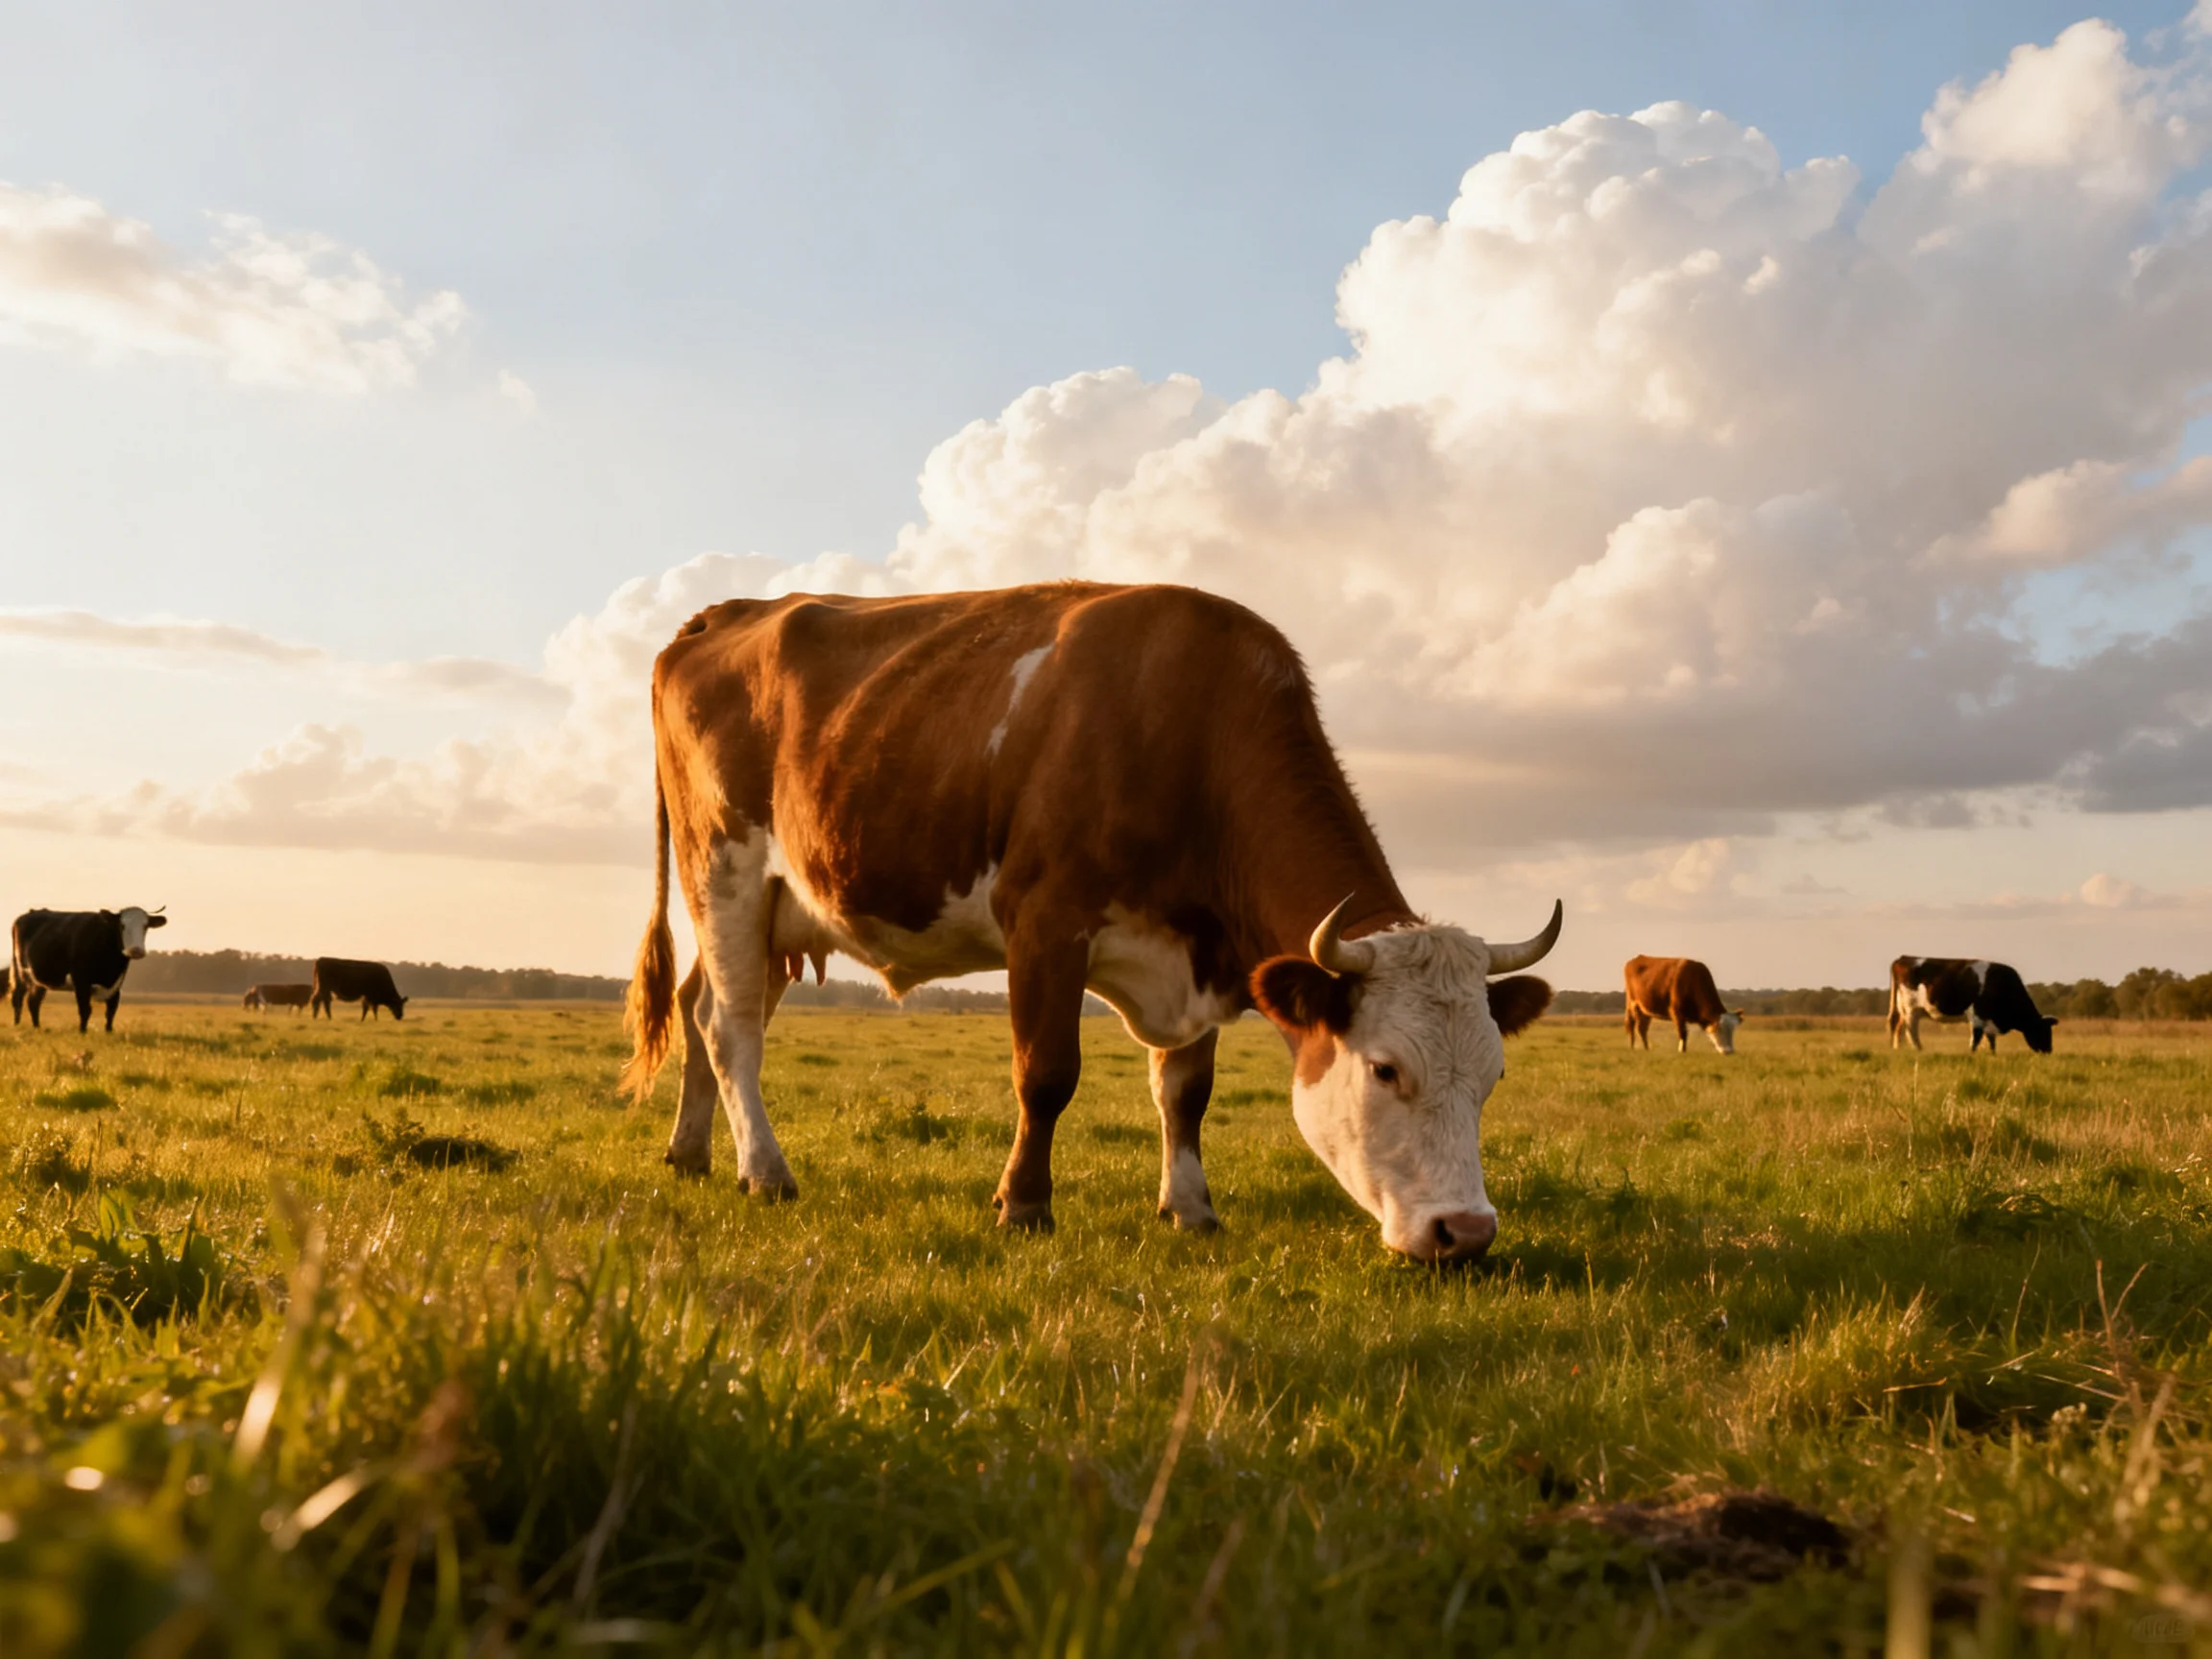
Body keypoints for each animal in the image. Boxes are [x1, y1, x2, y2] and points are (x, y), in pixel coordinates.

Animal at [10, 907, 168, 1032]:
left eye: (145, 926)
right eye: (122, 925)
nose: (136, 950)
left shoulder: (117, 984)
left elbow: (111, 1010)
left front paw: (108, 1031)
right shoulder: (81, 981)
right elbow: (85, 1009)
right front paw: (83, 1032)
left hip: (39, 980)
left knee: (34, 1001)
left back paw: (36, 1027)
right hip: (21, 973)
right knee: (19, 999)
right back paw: (18, 1025)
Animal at [619, 583, 1562, 1263]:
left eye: (1493, 1077)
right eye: (1384, 1069)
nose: (1466, 1234)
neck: (1189, 727)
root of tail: (723, 613)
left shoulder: (1201, 956)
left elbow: (1185, 1092)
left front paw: (1190, 1207)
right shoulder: (1045, 921)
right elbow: (1047, 1075)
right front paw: (1023, 1205)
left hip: (773, 914)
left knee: (702, 1012)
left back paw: (690, 1154)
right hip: (725, 871)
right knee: (733, 1028)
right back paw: (765, 1172)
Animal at [1889, 957, 2055, 1053]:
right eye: (2042, 1030)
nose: (2048, 1051)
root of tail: (1903, 958)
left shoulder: (1988, 1020)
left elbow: (1991, 1039)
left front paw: (1992, 1054)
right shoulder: (1977, 1015)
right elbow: (1976, 1038)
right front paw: (1972, 1053)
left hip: (1905, 1009)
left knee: (1898, 1027)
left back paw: (1899, 1048)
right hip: (1911, 1008)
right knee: (1911, 1029)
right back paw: (1918, 1048)